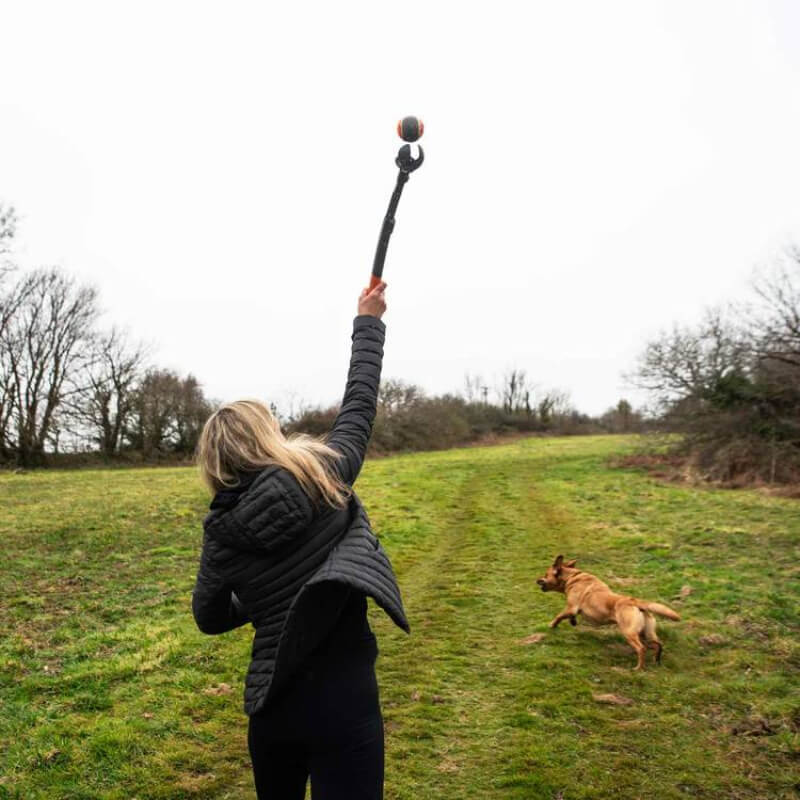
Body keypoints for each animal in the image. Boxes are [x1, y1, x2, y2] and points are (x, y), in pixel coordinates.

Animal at [536, 555, 681, 669]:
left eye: (545, 575)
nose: (536, 580)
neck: (572, 576)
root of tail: (634, 601)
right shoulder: (572, 610)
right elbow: (570, 617)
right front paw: (572, 621)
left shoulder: (571, 607)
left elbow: (559, 616)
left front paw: (552, 625)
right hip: (647, 633)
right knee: (658, 645)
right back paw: (656, 660)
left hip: (629, 632)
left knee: (641, 649)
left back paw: (638, 668)